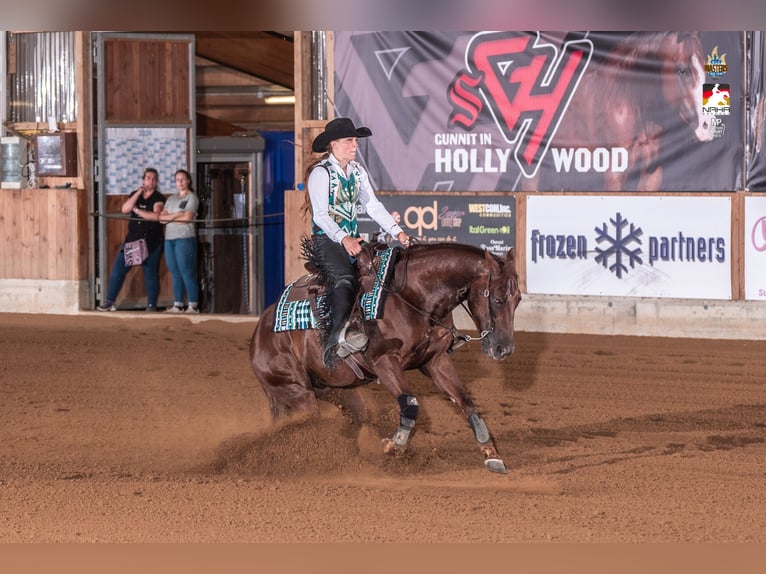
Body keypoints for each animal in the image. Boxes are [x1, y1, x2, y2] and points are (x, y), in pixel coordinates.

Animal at [250, 243, 520, 472]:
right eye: (497, 299)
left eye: (517, 299)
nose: (504, 349)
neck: (414, 296)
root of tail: (259, 334)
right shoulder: (384, 361)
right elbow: (410, 405)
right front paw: (392, 446)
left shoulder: (436, 361)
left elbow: (466, 402)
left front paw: (492, 455)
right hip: (297, 392)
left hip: (335, 391)